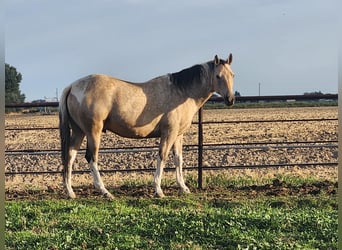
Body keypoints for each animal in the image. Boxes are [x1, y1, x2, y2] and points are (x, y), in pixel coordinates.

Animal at [58, 53, 235, 198]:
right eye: (218, 76)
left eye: (232, 75)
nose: (230, 99)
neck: (182, 92)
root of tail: (72, 86)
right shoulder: (169, 133)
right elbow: (162, 157)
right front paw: (158, 190)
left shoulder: (178, 135)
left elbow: (178, 159)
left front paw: (183, 188)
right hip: (93, 132)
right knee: (91, 158)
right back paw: (105, 192)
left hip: (79, 132)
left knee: (70, 155)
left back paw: (70, 192)